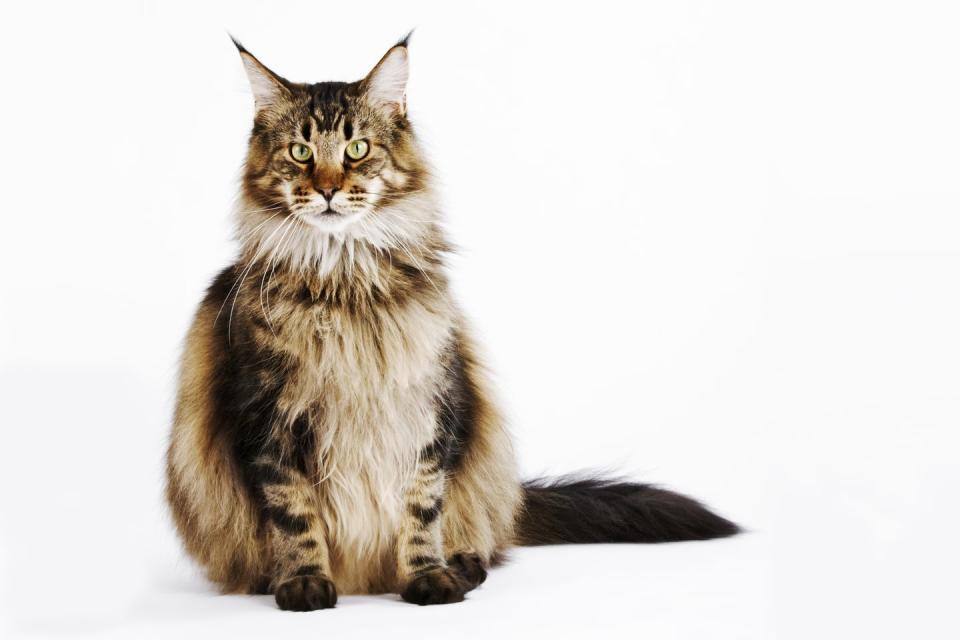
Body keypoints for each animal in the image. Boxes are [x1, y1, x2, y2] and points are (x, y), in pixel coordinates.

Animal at [165, 33, 740, 608]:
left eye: (357, 150)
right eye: (300, 153)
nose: (328, 189)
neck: (346, 282)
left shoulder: (431, 407)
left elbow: (421, 506)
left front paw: (426, 576)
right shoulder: (266, 419)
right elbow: (293, 514)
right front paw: (304, 582)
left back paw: (463, 566)